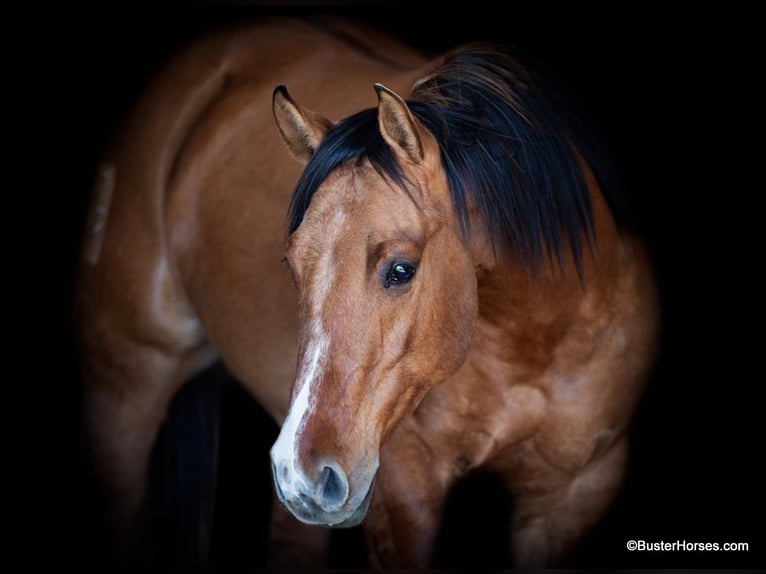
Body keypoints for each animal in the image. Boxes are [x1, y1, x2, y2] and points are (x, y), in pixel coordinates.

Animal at [75, 15, 659, 568]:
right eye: (291, 266)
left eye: (401, 269)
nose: (301, 475)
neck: (536, 340)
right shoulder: (403, 496)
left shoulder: (575, 496)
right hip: (123, 394)